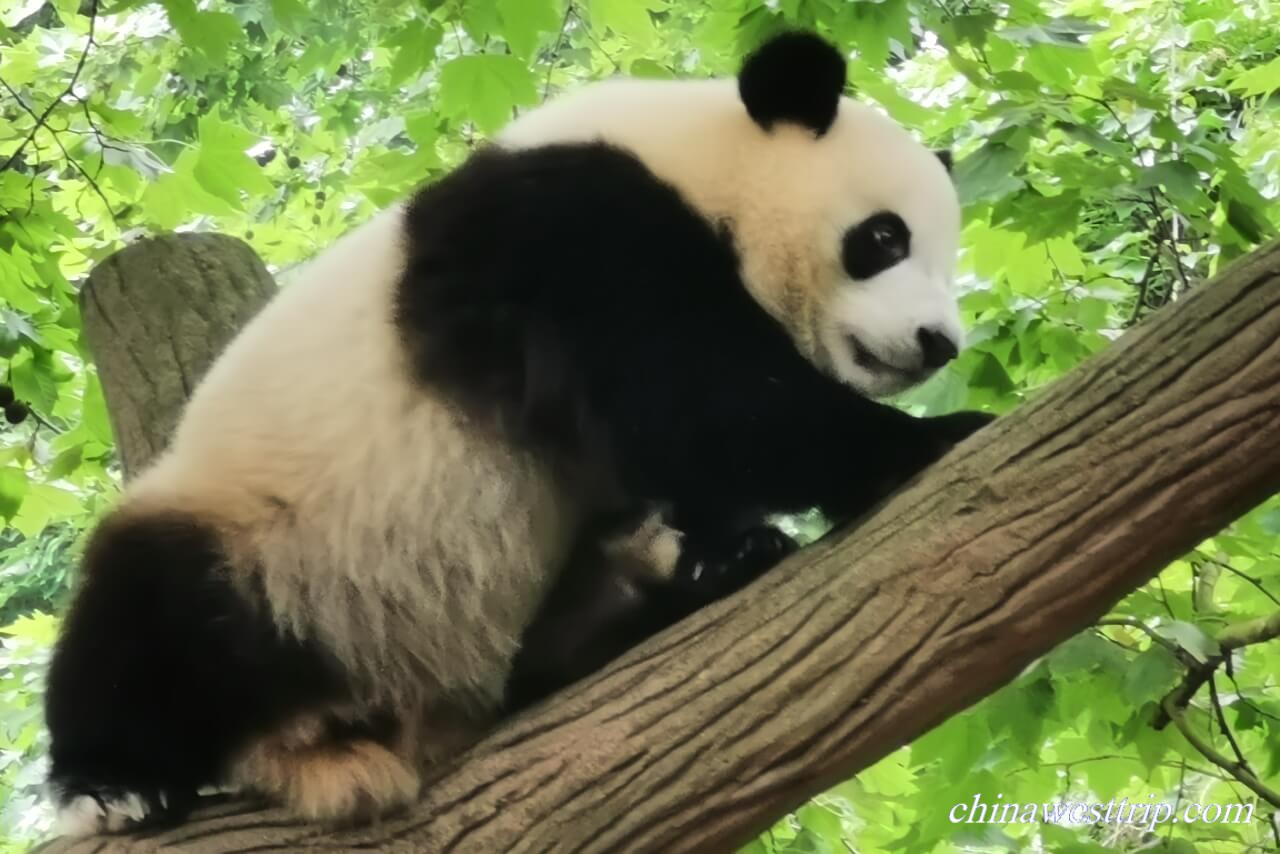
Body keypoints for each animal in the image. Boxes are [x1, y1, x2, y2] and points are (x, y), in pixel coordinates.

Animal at [47, 31, 988, 834]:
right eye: (883, 238)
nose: (938, 343)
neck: (695, 158)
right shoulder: (568, 228)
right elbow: (695, 396)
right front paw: (931, 437)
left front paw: (718, 547)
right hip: (277, 545)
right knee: (147, 611)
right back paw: (114, 785)